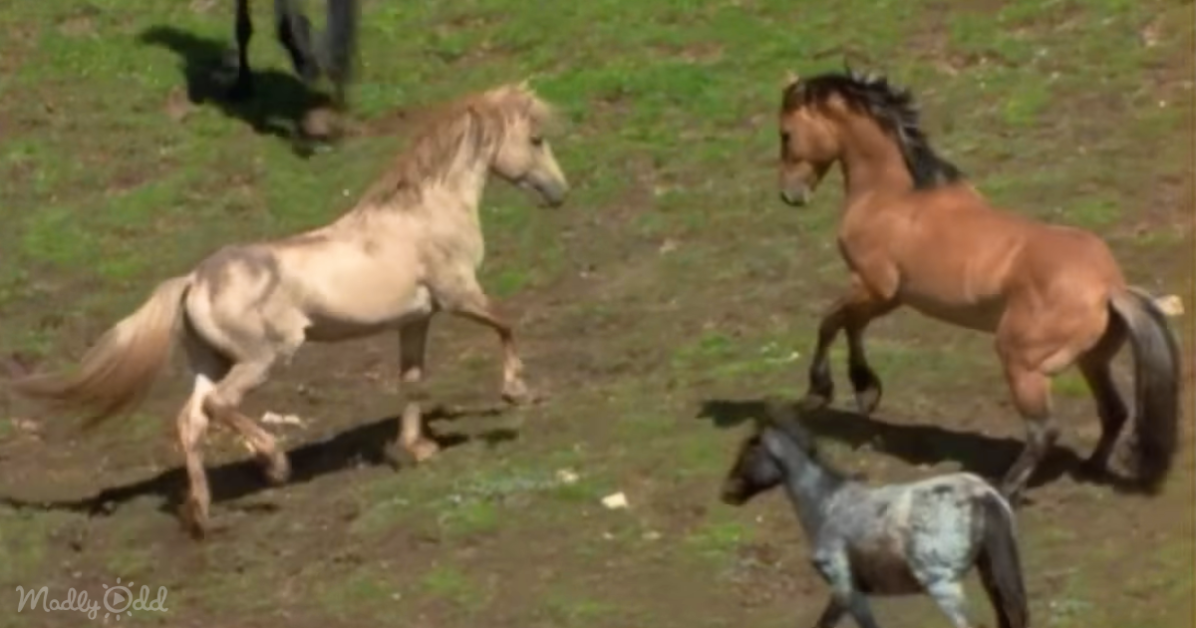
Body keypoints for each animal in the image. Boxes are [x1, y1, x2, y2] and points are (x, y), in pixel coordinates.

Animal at [8, 81, 570, 539]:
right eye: (536, 139)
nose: (560, 193)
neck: (425, 213)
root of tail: (193, 281)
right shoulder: (458, 295)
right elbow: (507, 323)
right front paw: (516, 391)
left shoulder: (416, 318)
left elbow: (411, 381)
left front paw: (414, 449)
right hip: (267, 356)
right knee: (219, 408)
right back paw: (275, 464)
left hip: (210, 362)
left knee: (192, 421)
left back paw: (202, 514)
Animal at [721, 402, 1029, 628]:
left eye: (748, 451)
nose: (727, 494)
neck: (827, 506)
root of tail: (983, 495)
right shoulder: (855, 595)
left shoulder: (845, 590)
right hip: (990, 575)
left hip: (943, 586)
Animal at [774, 69, 1181, 502]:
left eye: (786, 134)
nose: (790, 194)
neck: (892, 196)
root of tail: (1109, 288)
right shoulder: (890, 297)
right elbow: (851, 325)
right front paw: (865, 392)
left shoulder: (874, 286)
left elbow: (830, 321)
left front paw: (822, 392)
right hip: (1092, 361)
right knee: (1114, 411)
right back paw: (1089, 468)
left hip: (1022, 361)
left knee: (1044, 430)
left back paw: (1004, 488)